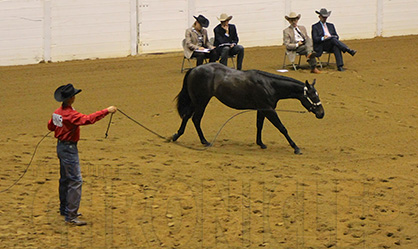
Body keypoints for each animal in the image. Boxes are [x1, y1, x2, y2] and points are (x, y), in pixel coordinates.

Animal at [171, 63, 324, 154]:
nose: (321, 113)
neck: (269, 85)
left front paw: (261, 143)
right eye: (313, 96)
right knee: (196, 119)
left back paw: (176, 136)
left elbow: (259, 125)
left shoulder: (262, 109)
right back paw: (204, 141)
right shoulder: (268, 110)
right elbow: (282, 127)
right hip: (201, 101)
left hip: (196, 101)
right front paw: (296, 147)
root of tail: (194, 69)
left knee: (187, 116)